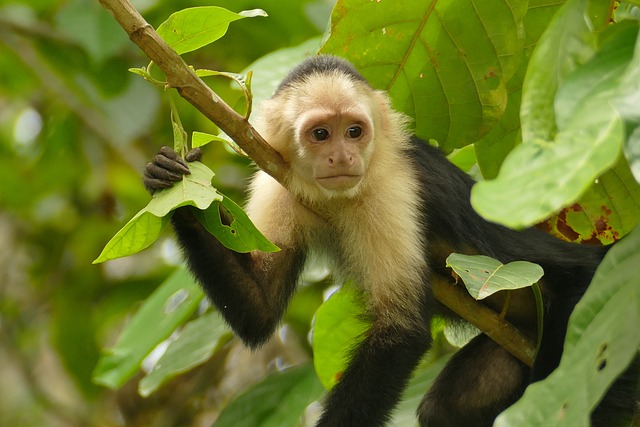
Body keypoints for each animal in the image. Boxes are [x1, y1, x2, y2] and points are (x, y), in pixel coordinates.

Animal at [143, 55, 638, 426]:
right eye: (320, 133)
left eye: (354, 131)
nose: (343, 156)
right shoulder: (277, 181)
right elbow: (259, 309)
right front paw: (177, 192)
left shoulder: (389, 188)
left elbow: (400, 330)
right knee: (445, 411)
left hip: (599, 301)